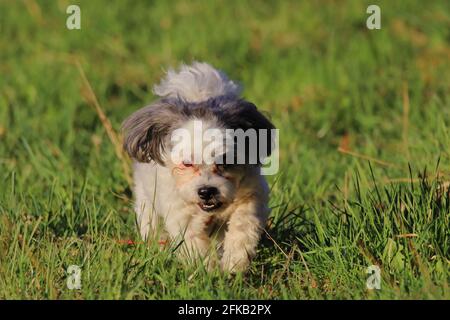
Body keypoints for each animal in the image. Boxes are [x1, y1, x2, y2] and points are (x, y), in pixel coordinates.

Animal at [122, 61, 274, 272]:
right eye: (187, 163)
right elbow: (193, 240)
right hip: (146, 199)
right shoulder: (180, 211)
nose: (206, 191)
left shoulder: (251, 194)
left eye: (225, 161)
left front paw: (234, 264)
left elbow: (243, 226)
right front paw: (207, 271)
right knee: (150, 223)